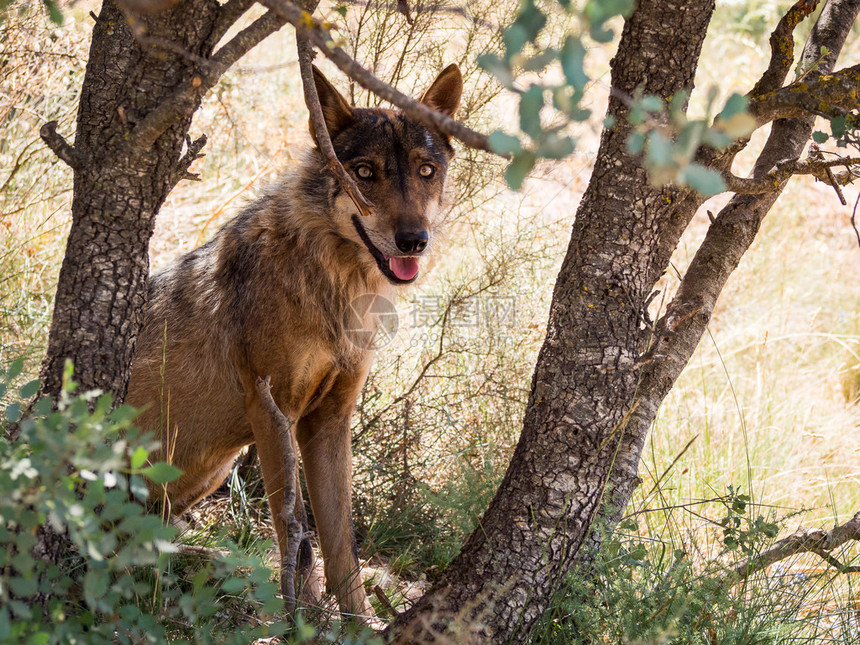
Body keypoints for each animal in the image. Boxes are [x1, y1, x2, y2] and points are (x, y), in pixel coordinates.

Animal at [126, 63, 464, 616]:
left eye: (425, 171)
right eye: (364, 173)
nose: (414, 241)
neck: (335, 286)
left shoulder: (329, 420)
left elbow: (342, 546)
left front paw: (357, 623)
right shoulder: (273, 411)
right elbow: (298, 538)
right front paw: (301, 618)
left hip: (210, 471)